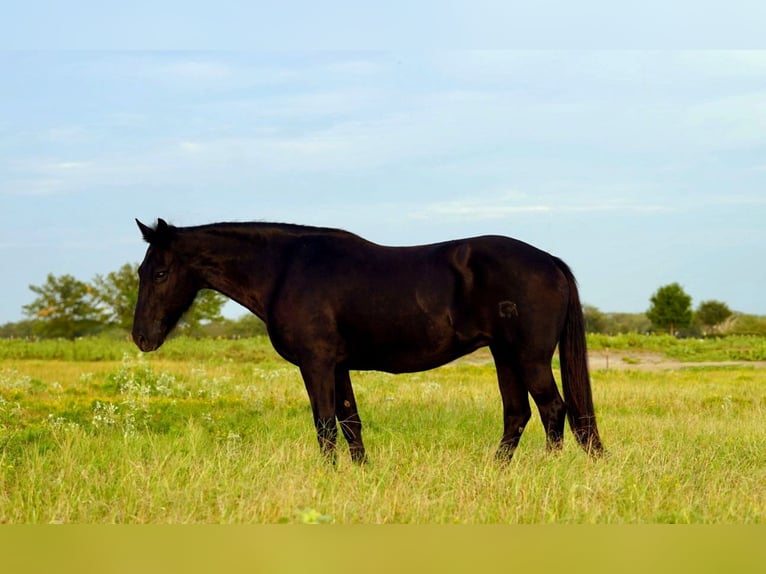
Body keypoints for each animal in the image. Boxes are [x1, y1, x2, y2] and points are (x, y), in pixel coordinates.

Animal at [132, 218, 603, 464]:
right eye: (141, 271)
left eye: (160, 272)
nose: (141, 338)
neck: (285, 270)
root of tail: (550, 262)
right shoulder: (338, 366)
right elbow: (349, 422)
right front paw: (359, 472)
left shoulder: (317, 364)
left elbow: (325, 424)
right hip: (504, 355)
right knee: (517, 414)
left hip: (530, 357)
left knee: (552, 409)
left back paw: (546, 469)